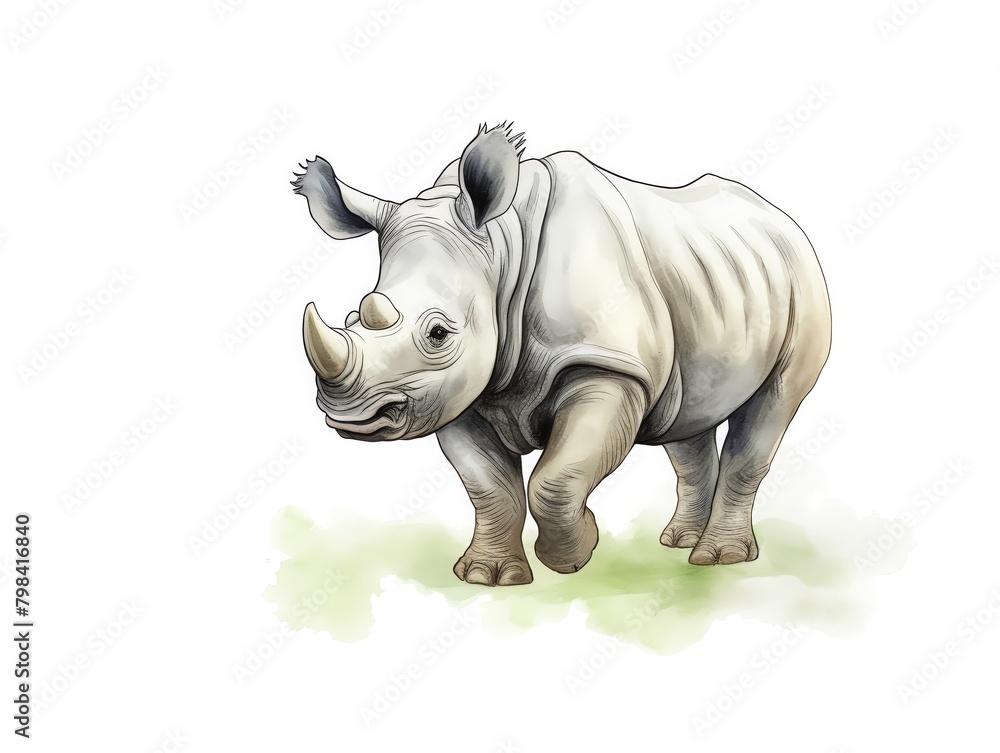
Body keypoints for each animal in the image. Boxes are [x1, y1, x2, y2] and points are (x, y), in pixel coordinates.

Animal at [292, 122, 831, 586]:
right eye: (355, 316)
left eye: (439, 334)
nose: (352, 417)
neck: (503, 248)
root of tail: (780, 217)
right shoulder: (457, 391)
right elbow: (487, 486)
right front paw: (488, 577)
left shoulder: (606, 362)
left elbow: (557, 477)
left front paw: (576, 553)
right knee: (687, 419)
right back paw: (678, 544)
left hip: (801, 277)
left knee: (773, 405)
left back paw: (719, 559)